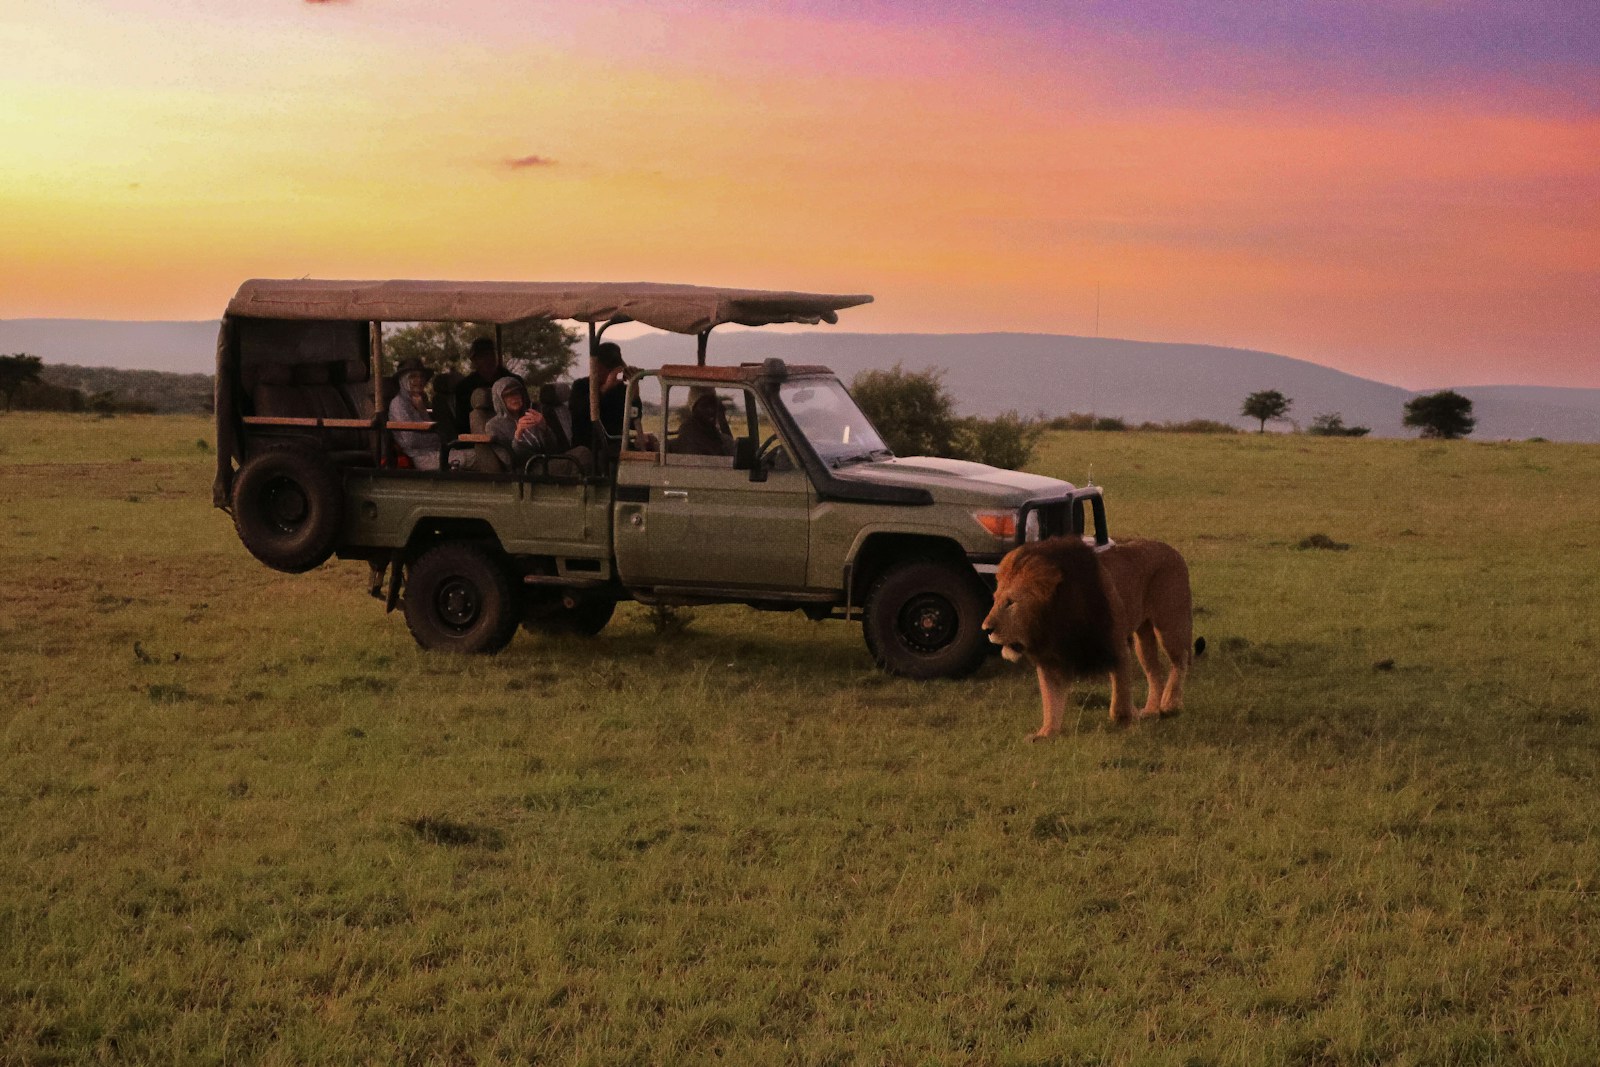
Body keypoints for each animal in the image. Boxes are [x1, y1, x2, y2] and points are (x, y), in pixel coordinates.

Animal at [979, 537, 1196, 739]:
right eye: (994, 599)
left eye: (1011, 603)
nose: (986, 629)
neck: (1052, 621)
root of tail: (1173, 550)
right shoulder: (1050, 658)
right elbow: (1051, 698)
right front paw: (1046, 733)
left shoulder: (1116, 644)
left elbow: (1121, 690)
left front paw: (1125, 718)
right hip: (1143, 636)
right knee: (1154, 671)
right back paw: (1151, 710)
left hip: (1169, 624)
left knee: (1180, 660)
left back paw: (1170, 704)